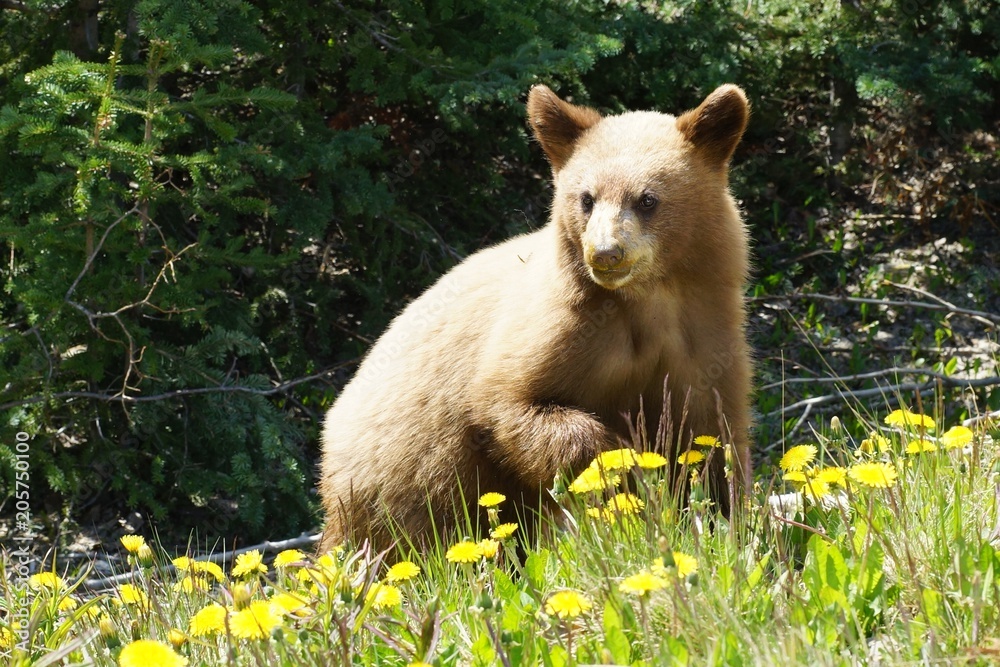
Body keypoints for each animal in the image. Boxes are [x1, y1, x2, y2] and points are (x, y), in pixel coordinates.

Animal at [317, 84, 753, 554]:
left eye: (647, 199)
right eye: (586, 198)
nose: (606, 253)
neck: (644, 301)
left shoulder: (704, 337)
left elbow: (713, 437)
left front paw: (727, 520)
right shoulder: (558, 327)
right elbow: (509, 402)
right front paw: (620, 465)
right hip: (400, 471)